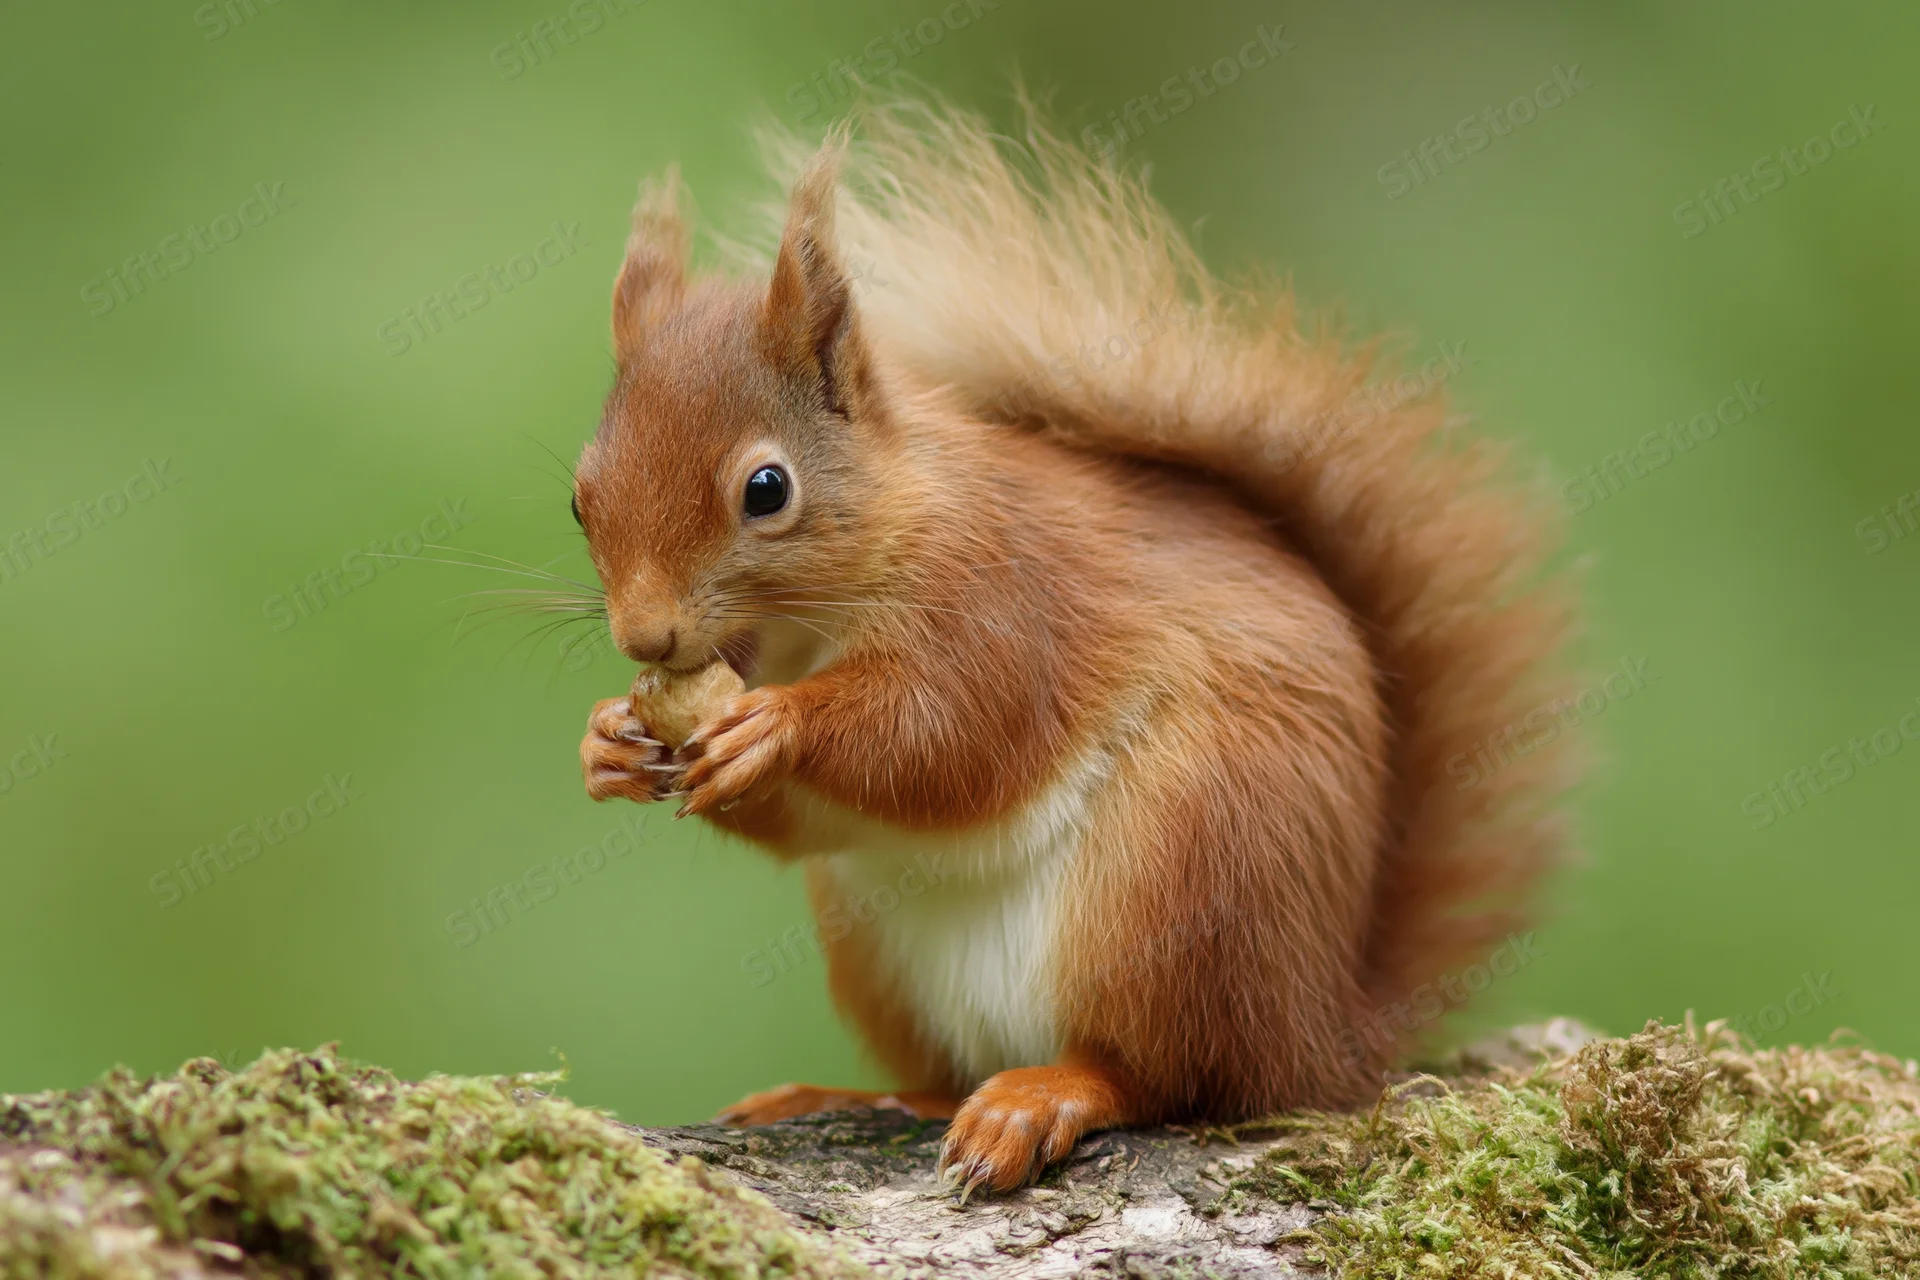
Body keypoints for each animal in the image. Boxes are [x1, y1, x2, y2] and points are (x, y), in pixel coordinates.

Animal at [574, 100, 1575, 1195]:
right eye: (580, 497)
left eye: (767, 489)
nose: (645, 632)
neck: (818, 619)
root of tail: (1326, 1033)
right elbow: (813, 820)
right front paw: (610, 740)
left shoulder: (1004, 599)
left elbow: (950, 734)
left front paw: (776, 727)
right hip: (881, 943)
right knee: (946, 1070)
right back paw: (849, 1095)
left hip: (1183, 871)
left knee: (1172, 1076)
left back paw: (1045, 1095)